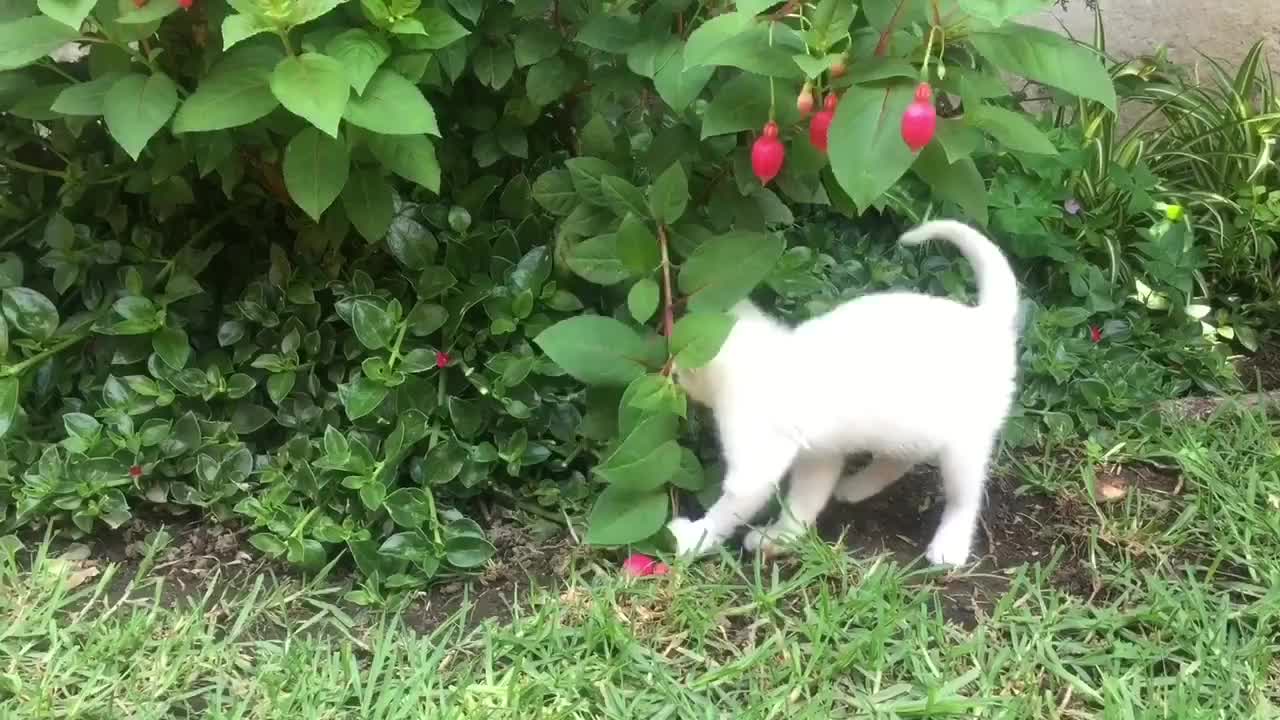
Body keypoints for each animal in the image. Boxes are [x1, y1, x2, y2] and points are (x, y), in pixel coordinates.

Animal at [670, 219, 1018, 566]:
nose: (672, 373)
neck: (765, 358)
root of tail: (987, 319)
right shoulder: (820, 454)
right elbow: (805, 501)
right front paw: (781, 536)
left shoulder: (756, 456)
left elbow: (731, 505)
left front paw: (694, 538)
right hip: (909, 429)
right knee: (899, 460)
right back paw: (857, 486)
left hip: (964, 445)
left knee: (965, 497)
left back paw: (950, 545)